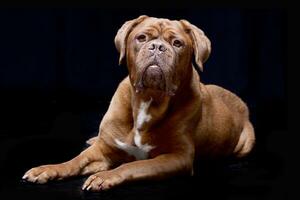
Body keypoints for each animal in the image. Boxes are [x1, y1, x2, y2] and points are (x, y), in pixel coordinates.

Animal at [22, 15, 254, 191]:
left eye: (177, 43)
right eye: (141, 38)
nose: (157, 46)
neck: (148, 100)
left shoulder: (176, 158)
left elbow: (133, 166)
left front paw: (105, 177)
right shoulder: (103, 152)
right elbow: (75, 161)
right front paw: (47, 169)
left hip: (246, 143)